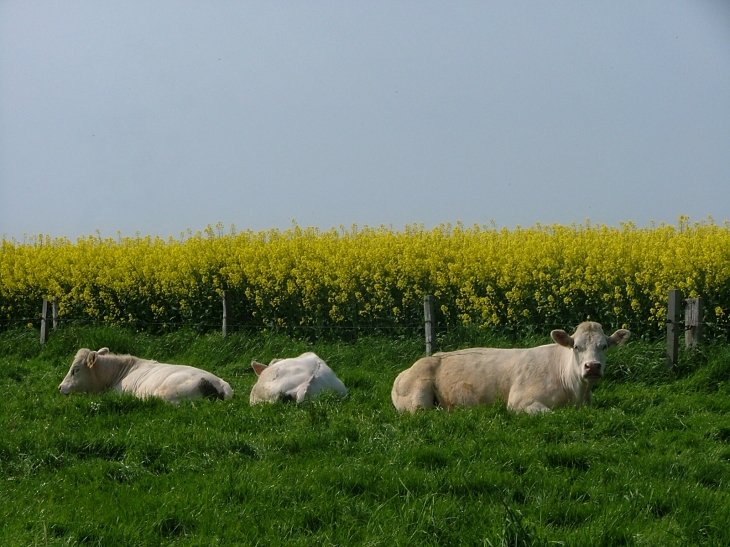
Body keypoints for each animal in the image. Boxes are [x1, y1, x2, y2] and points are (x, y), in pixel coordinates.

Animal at [390, 322, 628, 416]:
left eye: (604, 346)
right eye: (576, 347)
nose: (592, 366)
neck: (576, 393)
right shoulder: (519, 402)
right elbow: (550, 414)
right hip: (417, 402)